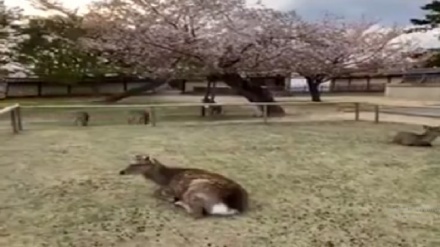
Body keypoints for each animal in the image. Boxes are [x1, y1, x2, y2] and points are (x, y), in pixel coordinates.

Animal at [118, 155, 248, 219]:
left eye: (137, 164)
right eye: (130, 162)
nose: (121, 172)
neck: (166, 178)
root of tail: (232, 207)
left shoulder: (172, 188)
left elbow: (155, 192)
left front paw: (171, 198)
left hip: (194, 189)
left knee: (197, 214)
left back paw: (179, 202)